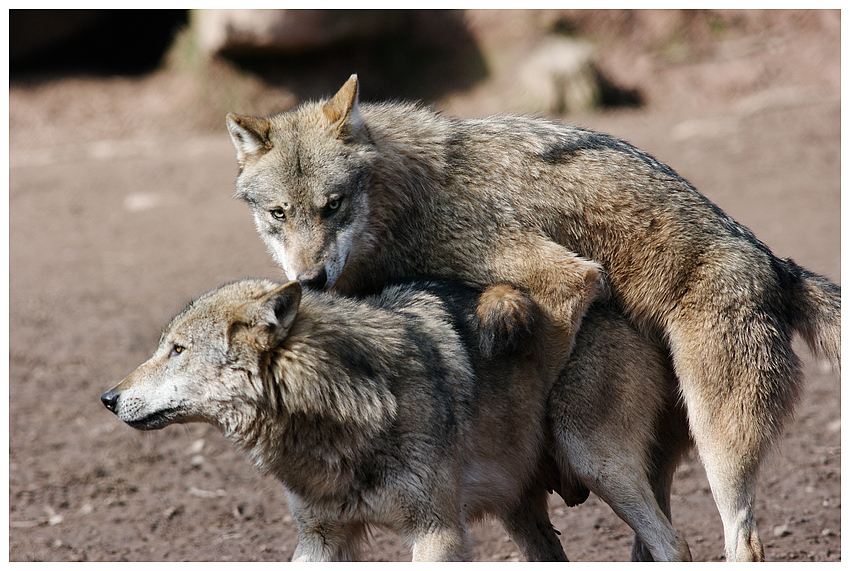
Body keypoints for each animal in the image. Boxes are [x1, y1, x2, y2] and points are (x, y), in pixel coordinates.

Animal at [227, 76, 840, 564]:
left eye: (333, 205)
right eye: (279, 213)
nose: (309, 279)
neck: (406, 200)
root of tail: (778, 266)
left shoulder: (564, 277)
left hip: (713, 446)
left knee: (740, 540)